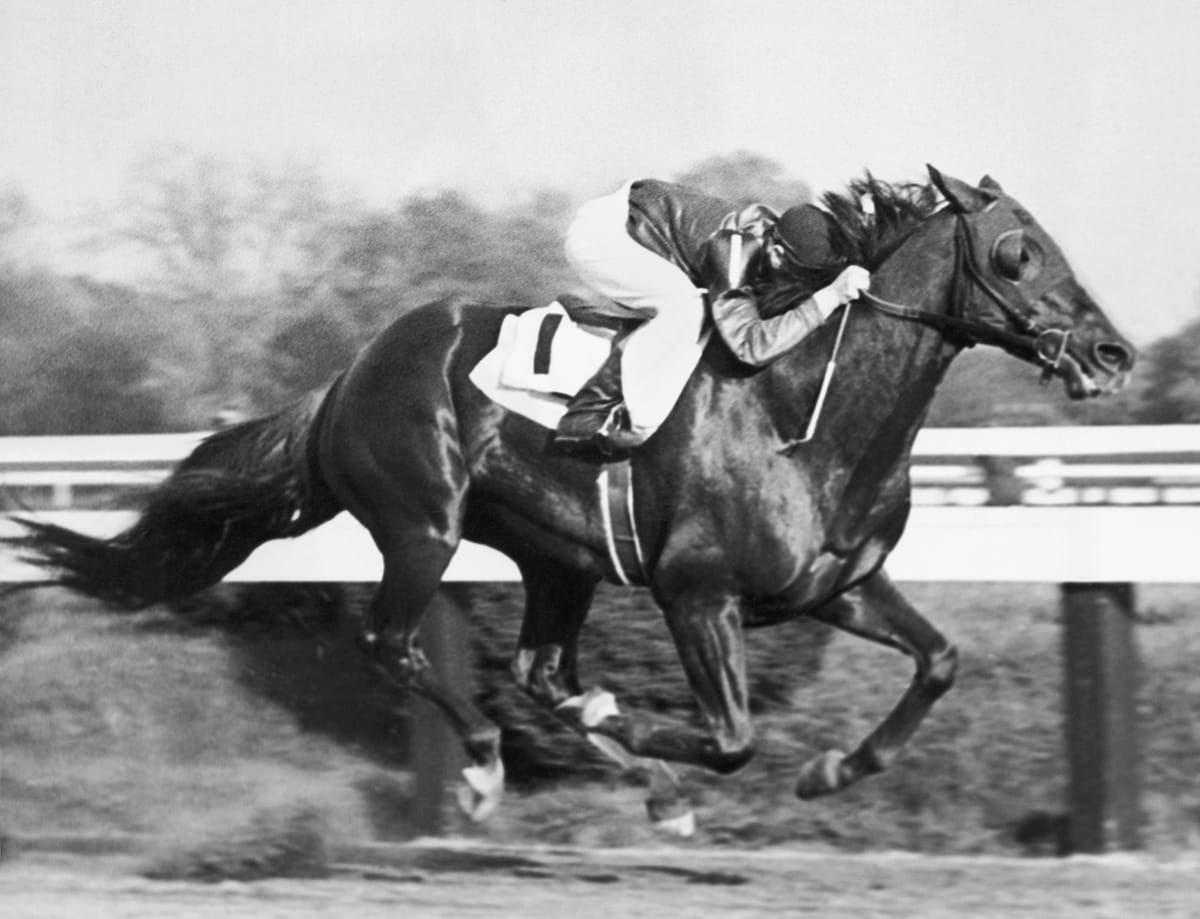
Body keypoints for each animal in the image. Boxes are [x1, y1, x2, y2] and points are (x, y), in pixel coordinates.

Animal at [7, 165, 1132, 825]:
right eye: (1017, 254)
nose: (1112, 353)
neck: (802, 406)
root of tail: (351, 371)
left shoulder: (833, 585)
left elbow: (940, 660)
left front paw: (826, 772)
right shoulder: (698, 593)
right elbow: (731, 738)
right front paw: (658, 750)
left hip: (557, 556)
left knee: (539, 668)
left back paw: (617, 760)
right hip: (423, 523)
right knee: (397, 643)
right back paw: (484, 765)